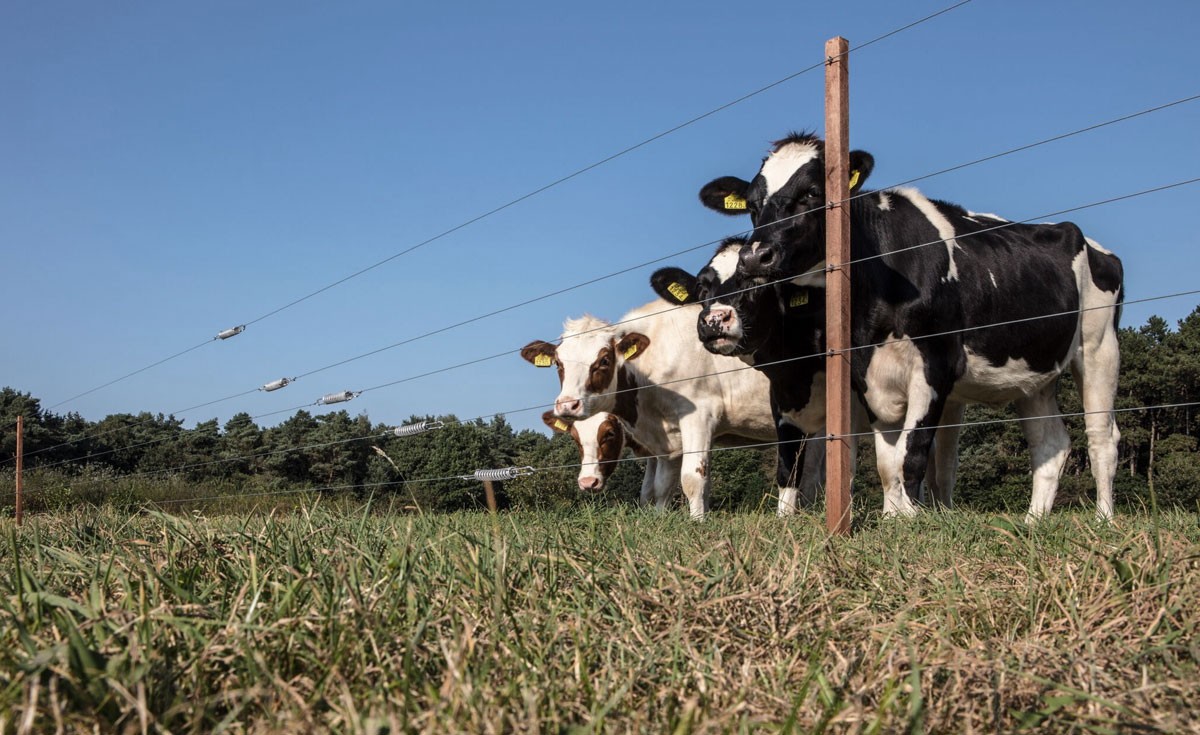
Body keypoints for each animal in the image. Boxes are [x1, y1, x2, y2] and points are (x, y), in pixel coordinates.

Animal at [700, 133, 1118, 523]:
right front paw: (892, 518)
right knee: (1050, 444)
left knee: (1102, 436)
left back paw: (1104, 518)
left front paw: (909, 521)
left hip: (1099, 347)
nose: (755, 256)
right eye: (753, 205)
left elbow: (911, 453)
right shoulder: (866, 374)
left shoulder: (935, 365)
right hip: (1035, 375)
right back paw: (1033, 521)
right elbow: (887, 463)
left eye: (813, 193)